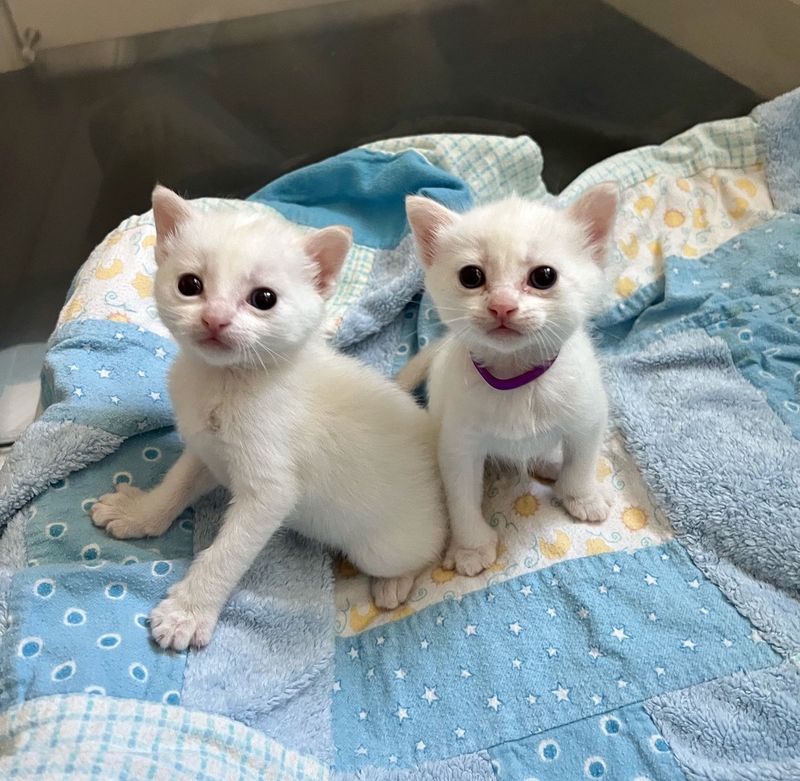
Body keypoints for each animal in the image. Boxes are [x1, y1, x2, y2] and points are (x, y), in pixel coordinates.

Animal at [92, 186, 450, 648]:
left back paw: (397, 582)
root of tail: (428, 431)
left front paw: (188, 612)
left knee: (430, 547)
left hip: (384, 547)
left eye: (264, 299)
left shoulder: (270, 491)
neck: (226, 382)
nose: (215, 318)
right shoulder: (206, 449)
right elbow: (176, 482)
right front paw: (140, 514)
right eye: (190, 285)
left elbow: (227, 554)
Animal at [400, 183, 620, 572]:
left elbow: (582, 460)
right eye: (471, 276)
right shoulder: (458, 444)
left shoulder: (588, 415)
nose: (502, 305)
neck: (516, 377)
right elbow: (461, 497)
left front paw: (582, 496)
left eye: (544, 276)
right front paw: (471, 547)